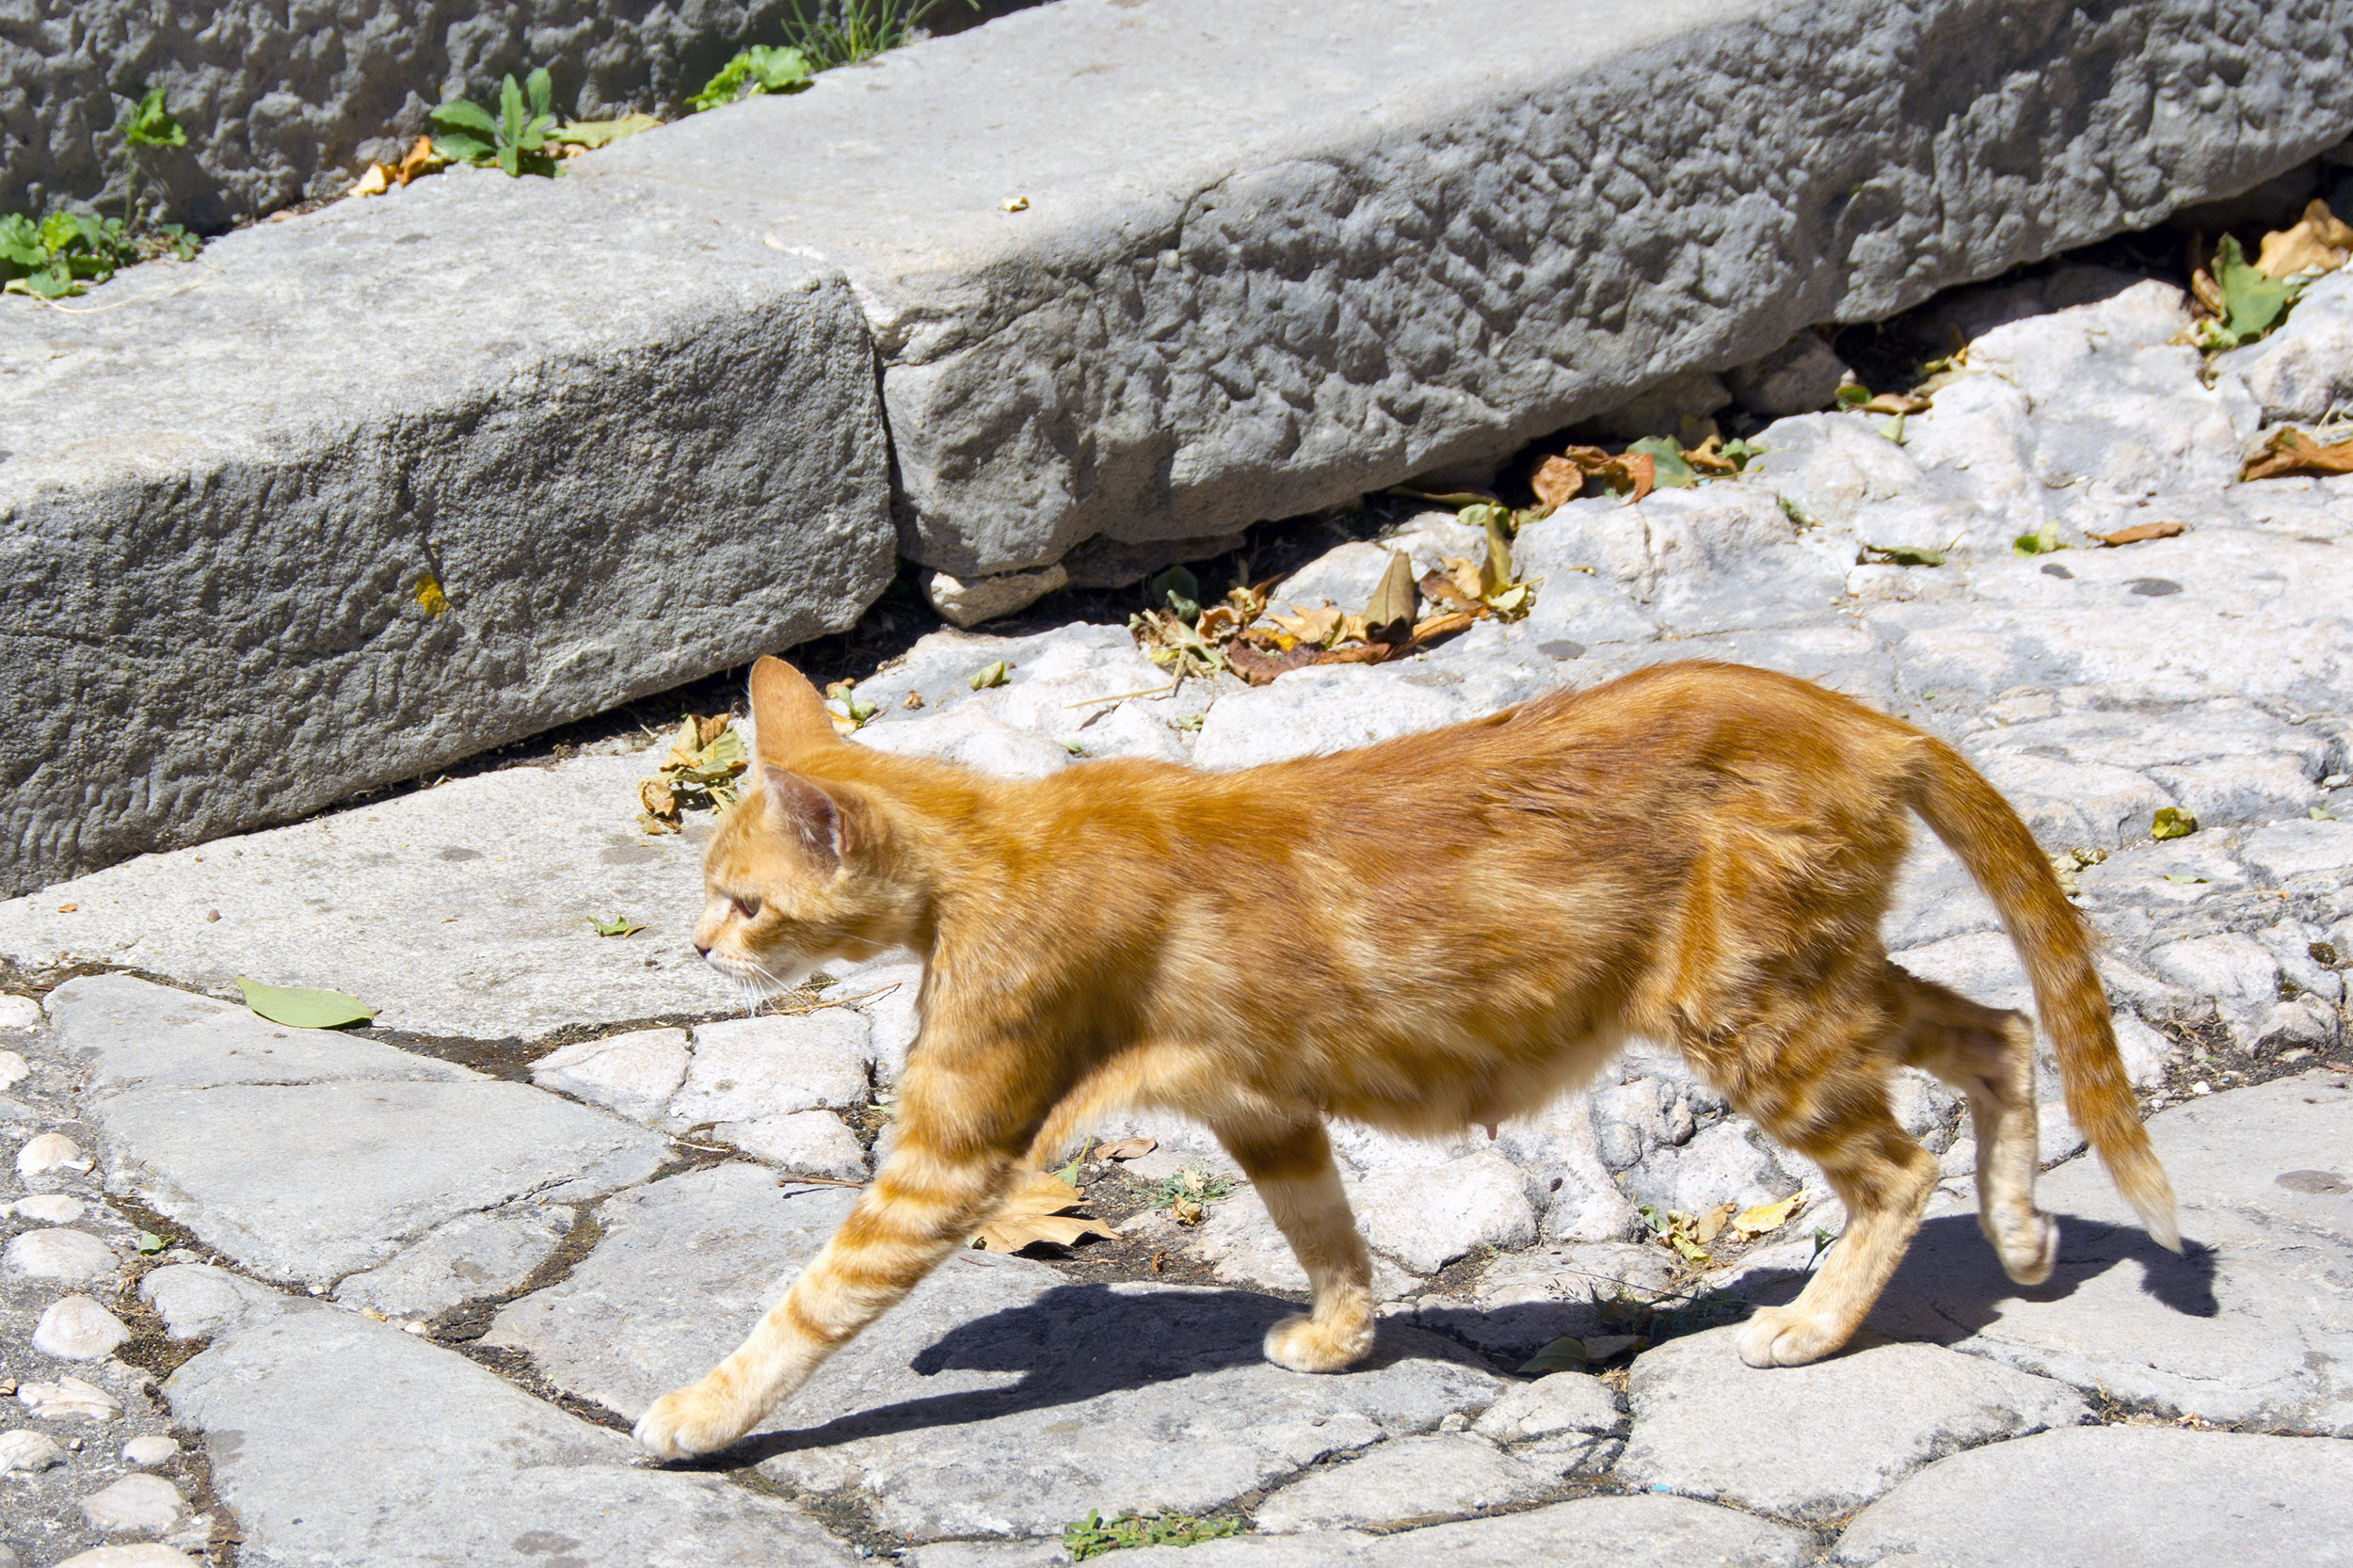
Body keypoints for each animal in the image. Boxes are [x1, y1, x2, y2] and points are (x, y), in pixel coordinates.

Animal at [635, 649, 2174, 1449]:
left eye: (744, 901)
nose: (700, 952)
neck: (987, 844)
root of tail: (1865, 719)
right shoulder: (1262, 1105)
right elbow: (1327, 1231)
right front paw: (1341, 1335)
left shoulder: (947, 1153)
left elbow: (809, 1301)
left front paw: (699, 1411)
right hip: (1811, 981)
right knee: (2003, 1027)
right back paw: (2023, 1234)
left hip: (1757, 1018)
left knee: (1897, 1166)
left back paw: (1814, 1321)